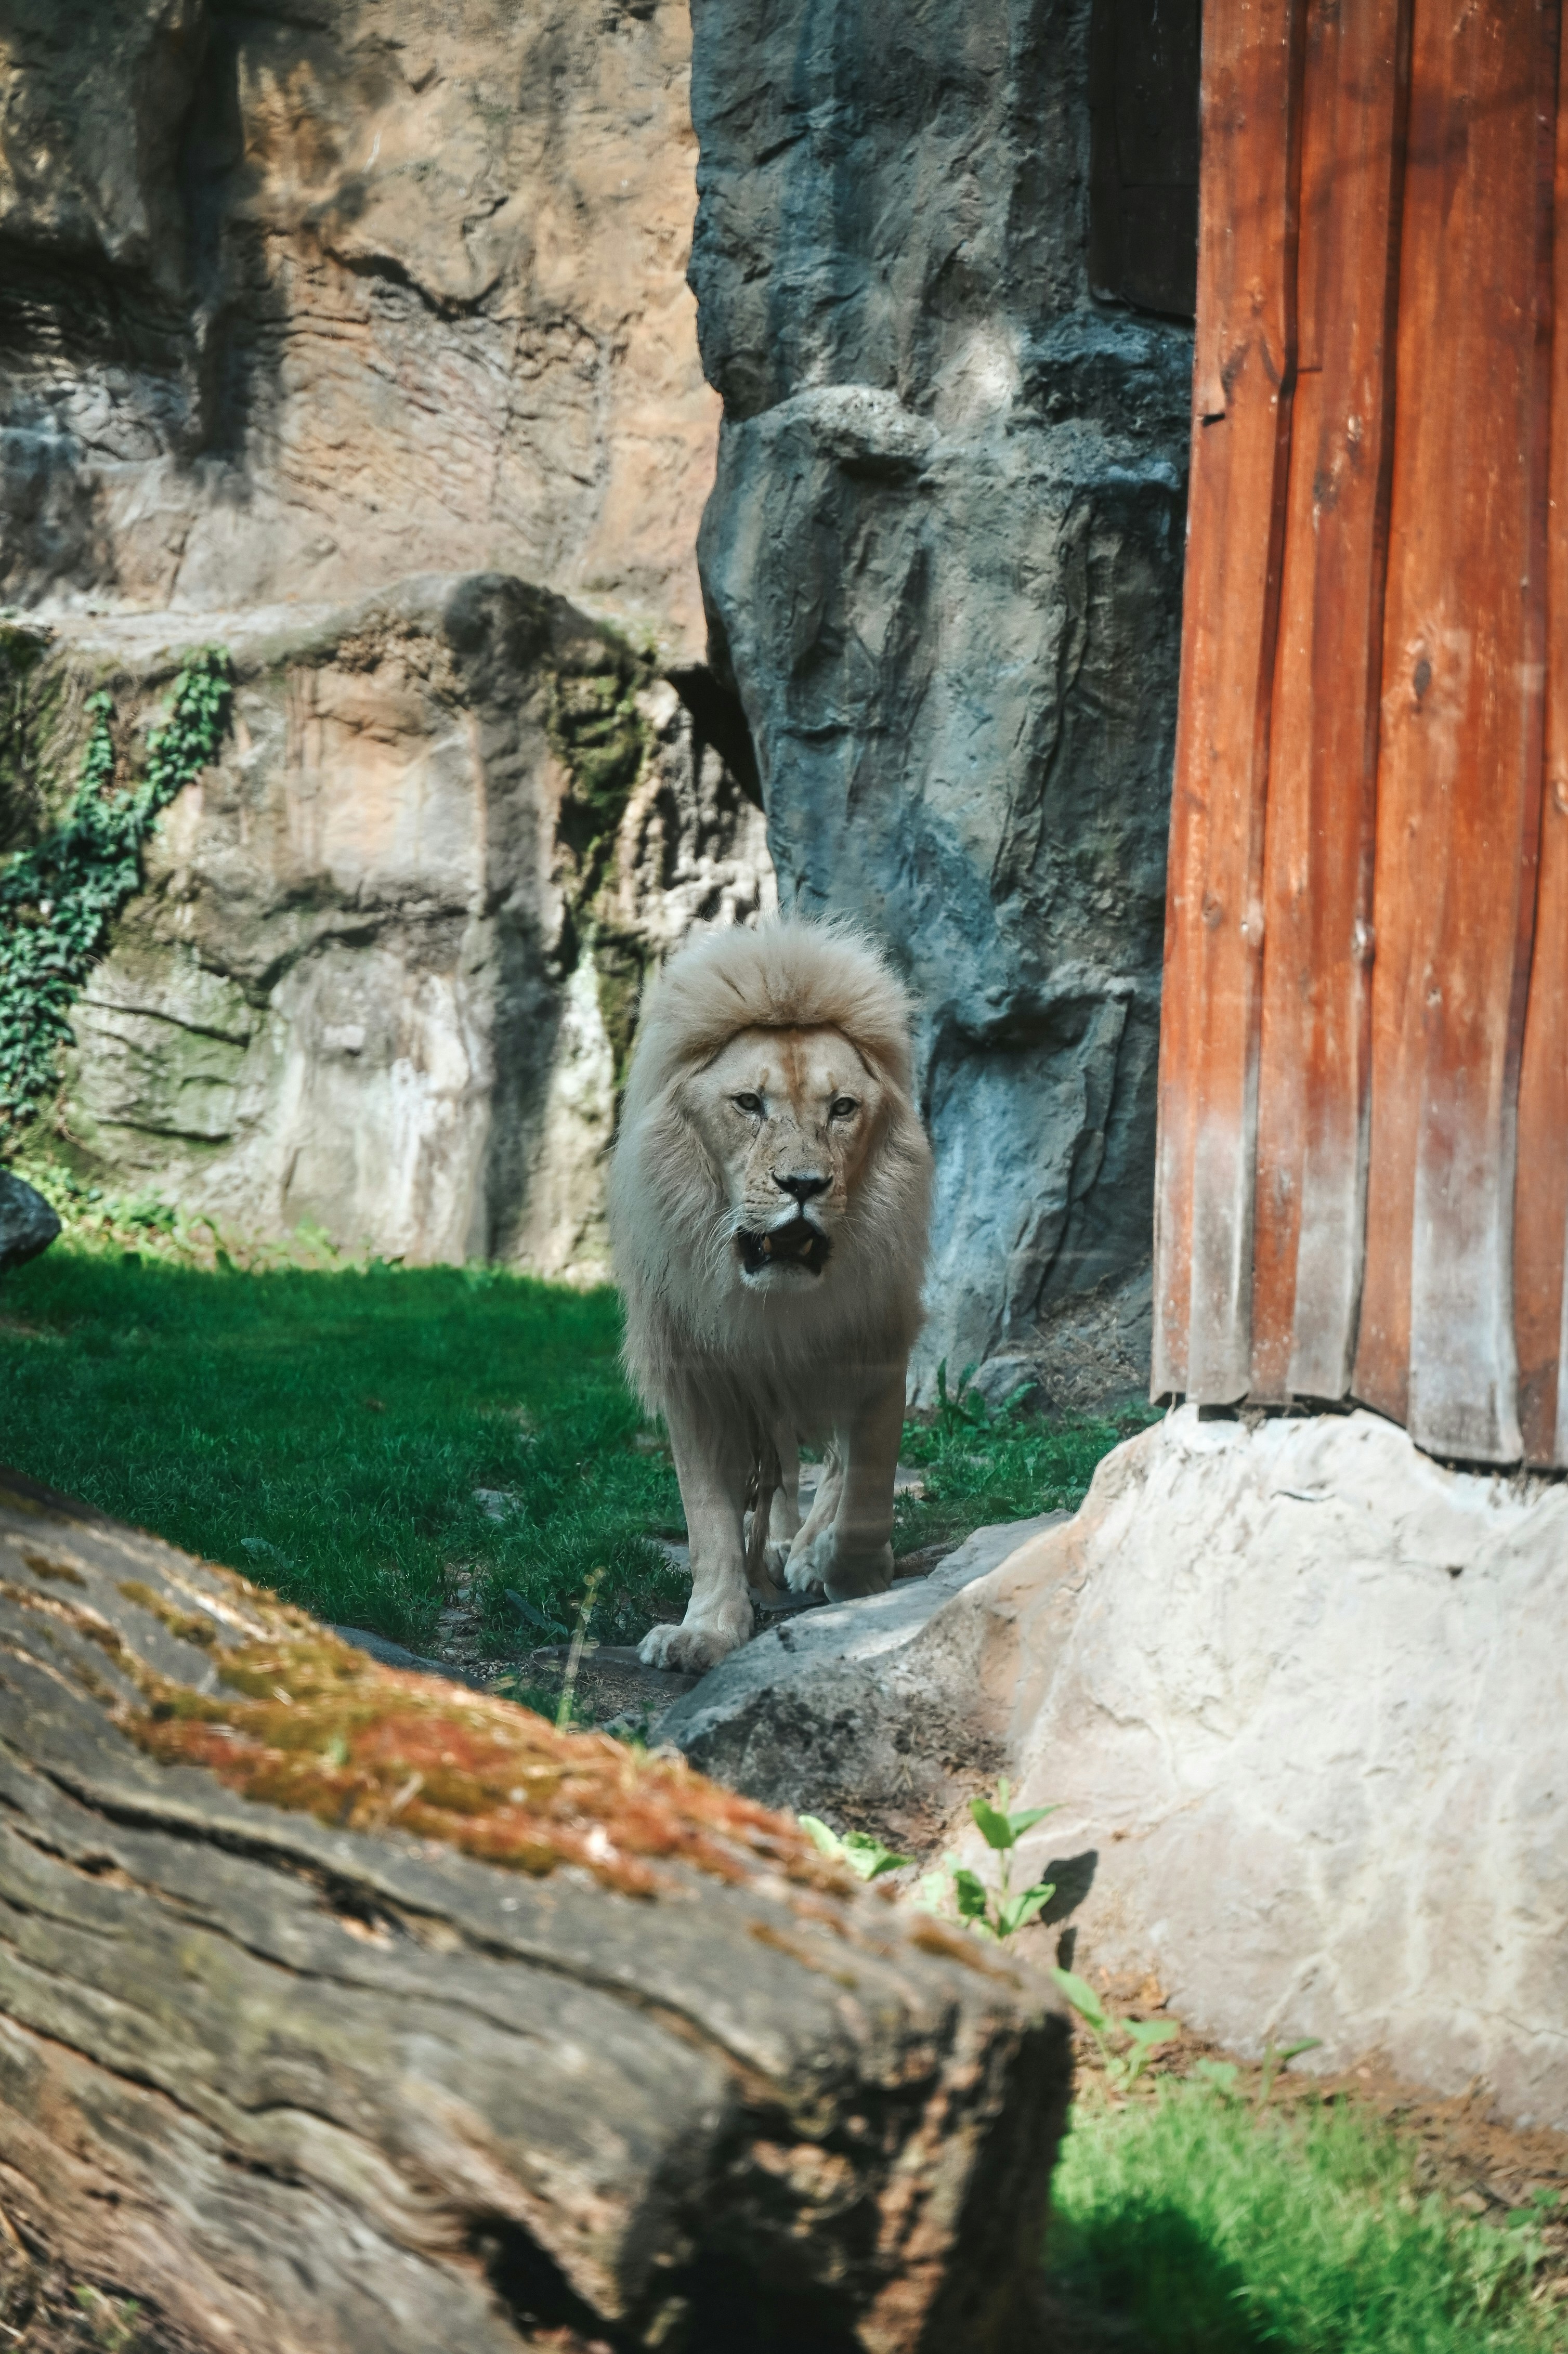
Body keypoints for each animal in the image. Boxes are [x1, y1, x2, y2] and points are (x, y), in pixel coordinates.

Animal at [608, 915, 933, 1673]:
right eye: (748, 1105)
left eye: (842, 1109)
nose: (805, 1186)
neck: (774, 1305)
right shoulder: (697, 1377)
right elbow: (709, 1521)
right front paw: (705, 1630)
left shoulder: (877, 1344)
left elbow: (867, 1482)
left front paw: (850, 1571)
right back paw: (784, 1542)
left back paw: (811, 1550)